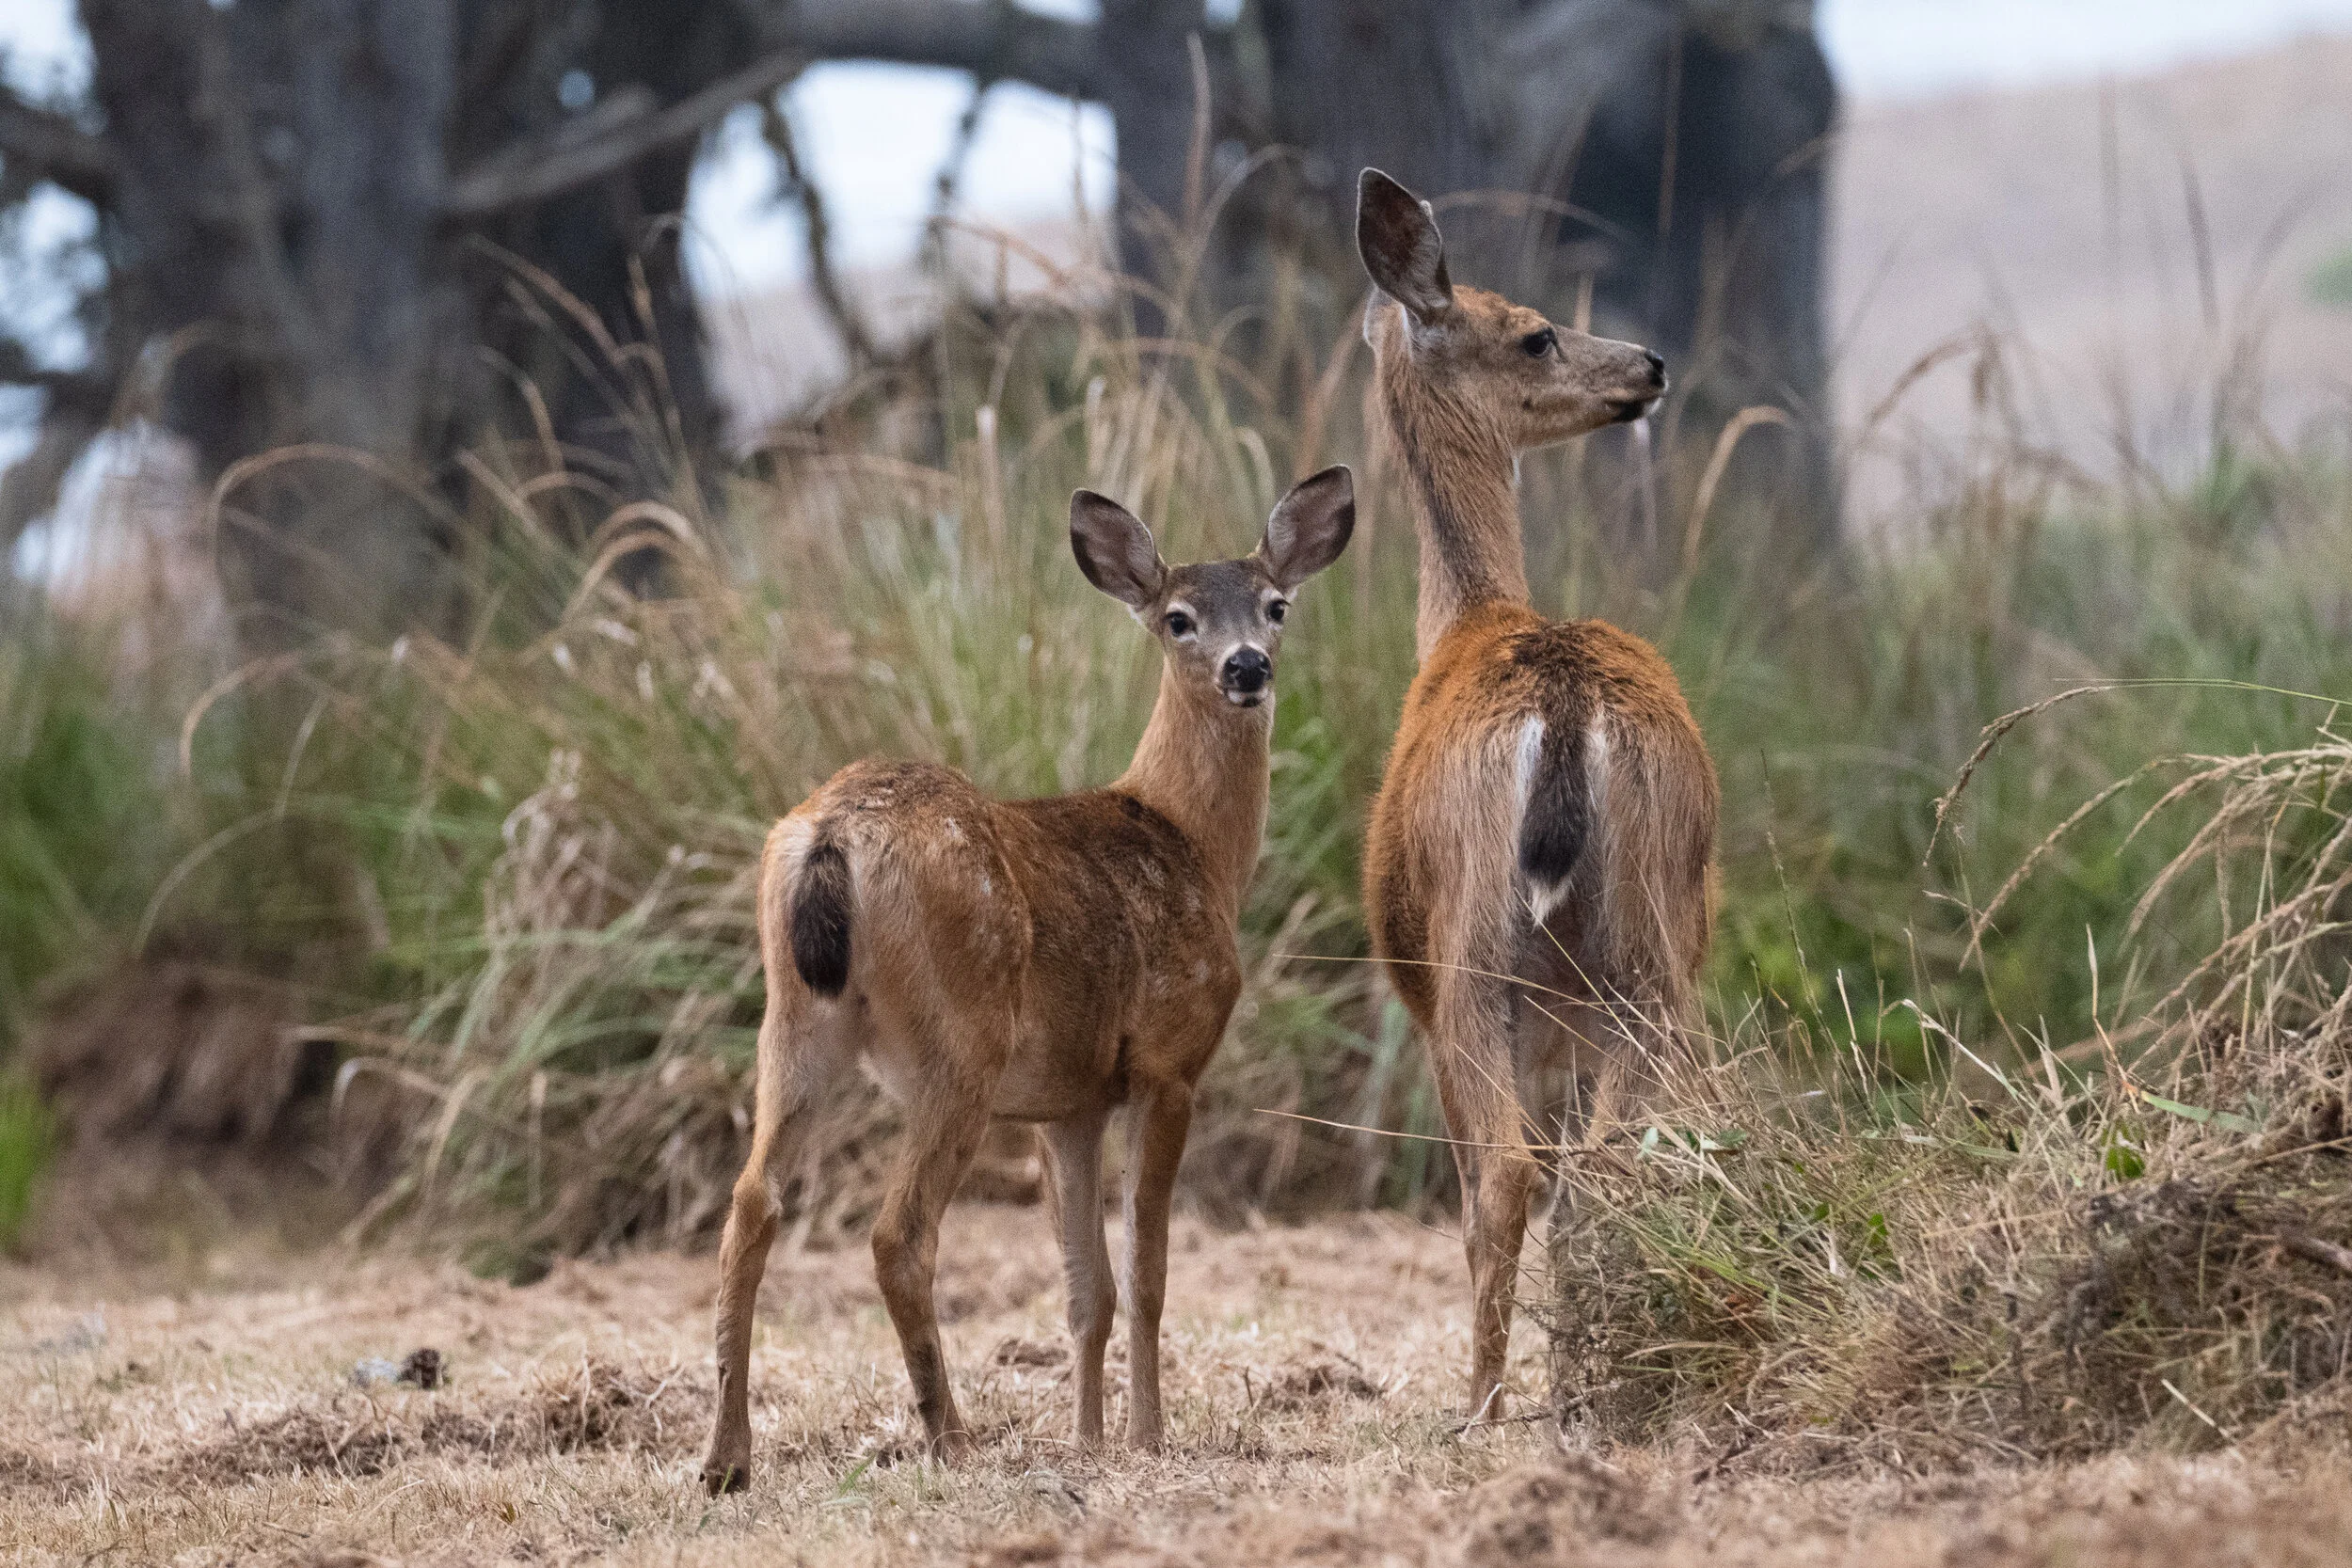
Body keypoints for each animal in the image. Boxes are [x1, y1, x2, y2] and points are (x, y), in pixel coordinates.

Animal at [700, 468, 1355, 1494]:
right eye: (1178, 619)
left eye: (1275, 605)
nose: (1247, 666)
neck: (1193, 845)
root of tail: (830, 836)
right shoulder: (1169, 1061)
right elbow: (1148, 1272)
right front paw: (1147, 1438)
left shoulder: (1068, 1102)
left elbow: (1087, 1286)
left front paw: (1088, 1440)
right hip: (961, 1038)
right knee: (896, 1232)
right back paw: (949, 1436)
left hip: (795, 1019)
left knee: (750, 1204)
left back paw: (726, 1458)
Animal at [1353, 169, 1719, 1423]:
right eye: (1534, 331)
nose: (1648, 363)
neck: (1464, 621)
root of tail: (1562, 706)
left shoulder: (1423, 991)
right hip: (1646, 949)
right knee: (1603, 1168)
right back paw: (1579, 1390)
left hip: (1470, 945)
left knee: (1507, 1178)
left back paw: (1477, 1399)